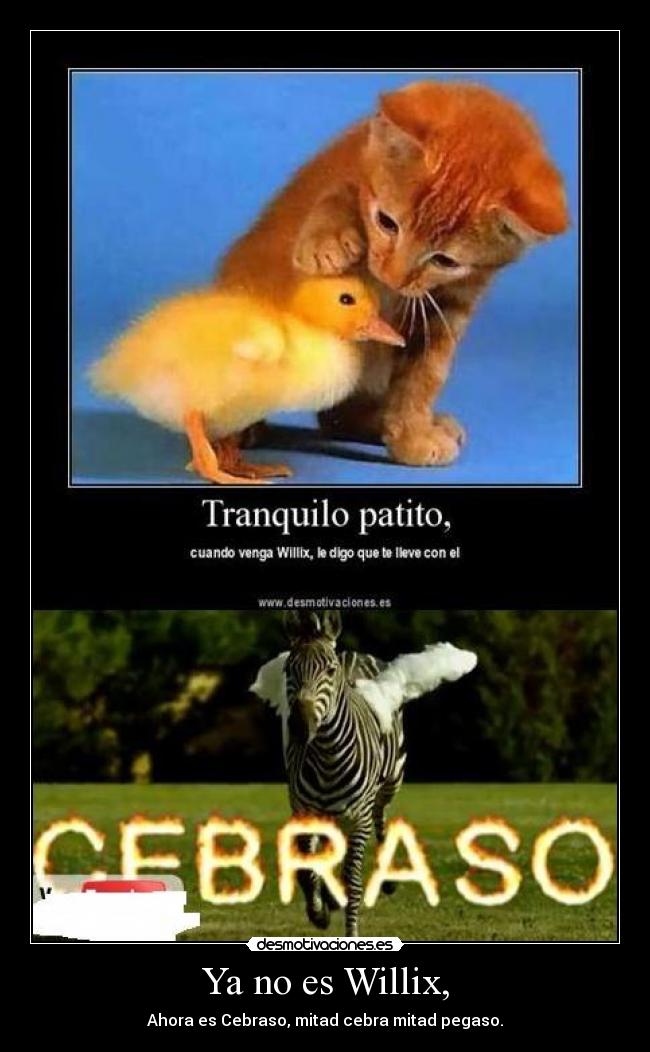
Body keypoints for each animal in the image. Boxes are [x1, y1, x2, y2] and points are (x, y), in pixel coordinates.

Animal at [251, 610, 478, 936]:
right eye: (288, 669)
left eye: (330, 670)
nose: (300, 727)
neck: (327, 758)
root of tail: (352, 653)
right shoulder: (304, 810)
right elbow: (308, 867)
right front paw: (319, 911)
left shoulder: (359, 818)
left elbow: (354, 880)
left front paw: (349, 927)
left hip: (390, 782)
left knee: (381, 819)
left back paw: (386, 880)